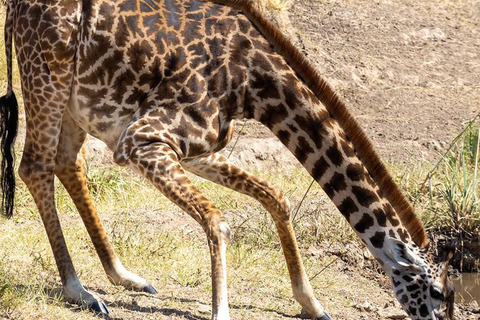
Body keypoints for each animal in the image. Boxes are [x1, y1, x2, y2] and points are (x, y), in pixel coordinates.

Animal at [0, 0, 456, 318]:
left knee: (66, 163)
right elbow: (218, 220)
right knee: (34, 166)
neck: (253, 83)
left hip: (77, 103)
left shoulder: (197, 149)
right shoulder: (143, 140)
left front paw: (311, 304)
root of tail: (18, 7)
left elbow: (275, 198)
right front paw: (223, 311)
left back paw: (124, 276)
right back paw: (80, 291)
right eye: (436, 292)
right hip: (47, 78)